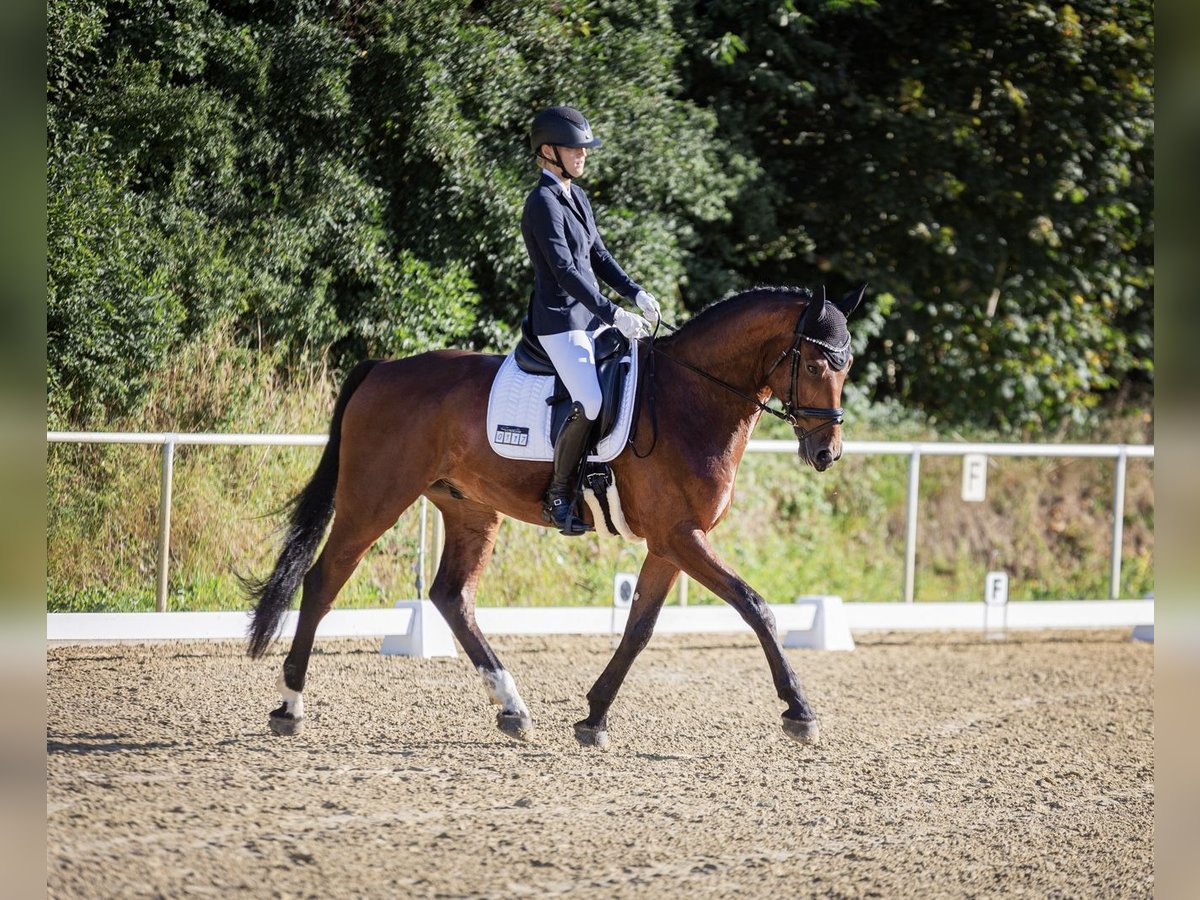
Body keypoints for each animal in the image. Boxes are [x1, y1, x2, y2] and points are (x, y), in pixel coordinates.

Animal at [243, 285, 868, 748]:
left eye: (847, 365)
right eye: (817, 363)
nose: (826, 453)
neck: (693, 398)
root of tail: (383, 369)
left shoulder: (670, 543)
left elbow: (640, 627)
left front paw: (593, 717)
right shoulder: (680, 536)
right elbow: (755, 606)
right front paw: (799, 711)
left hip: (471, 508)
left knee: (451, 596)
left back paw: (512, 707)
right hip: (374, 497)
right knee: (323, 580)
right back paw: (289, 707)